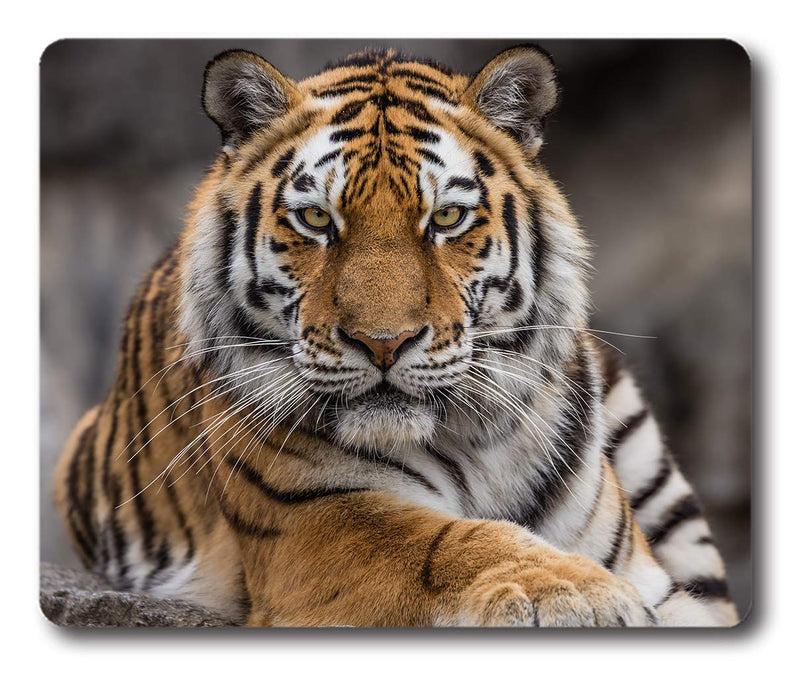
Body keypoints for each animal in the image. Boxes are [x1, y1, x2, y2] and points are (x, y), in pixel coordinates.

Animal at [54, 45, 738, 627]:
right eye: (315, 219)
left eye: (447, 217)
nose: (384, 343)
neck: (474, 444)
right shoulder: (314, 521)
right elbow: (447, 540)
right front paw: (577, 592)